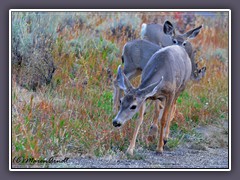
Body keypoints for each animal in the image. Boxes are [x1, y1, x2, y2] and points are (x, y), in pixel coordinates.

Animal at [112, 22, 202, 155]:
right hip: (133, 69)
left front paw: (159, 147)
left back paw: (164, 138)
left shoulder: (170, 93)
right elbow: (140, 118)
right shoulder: (147, 95)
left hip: (179, 88)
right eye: (121, 101)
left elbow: (164, 118)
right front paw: (130, 149)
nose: (116, 122)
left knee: (172, 109)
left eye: (133, 106)